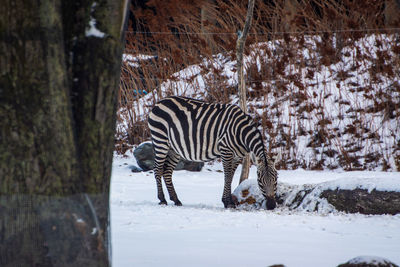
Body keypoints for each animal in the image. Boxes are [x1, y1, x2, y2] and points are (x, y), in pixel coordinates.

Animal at [147, 95, 278, 210]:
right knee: (158, 169)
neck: (241, 132)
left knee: (167, 171)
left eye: (276, 178)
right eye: (260, 181)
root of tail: (159, 102)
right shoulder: (225, 150)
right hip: (160, 141)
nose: (271, 206)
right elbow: (227, 176)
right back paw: (162, 199)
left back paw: (176, 200)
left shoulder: (238, 156)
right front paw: (228, 202)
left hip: (174, 149)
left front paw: (228, 201)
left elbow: (230, 176)